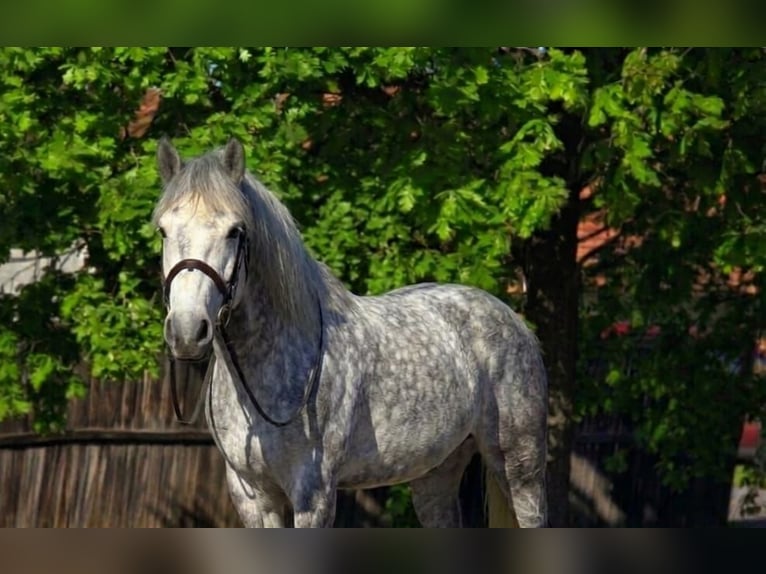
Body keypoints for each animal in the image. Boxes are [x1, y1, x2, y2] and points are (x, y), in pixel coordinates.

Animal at [153, 137, 549, 528]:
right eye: (163, 231)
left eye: (235, 231)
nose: (187, 331)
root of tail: (513, 320)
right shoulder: (251, 494)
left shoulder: (313, 494)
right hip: (436, 472)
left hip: (520, 468)